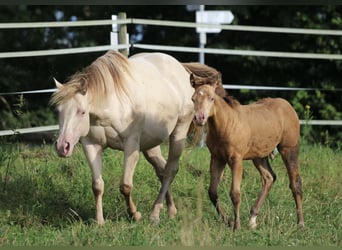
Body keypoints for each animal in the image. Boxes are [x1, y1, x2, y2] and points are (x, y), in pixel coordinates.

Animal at [192, 85, 304, 229]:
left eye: (211, 98)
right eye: (193, 99)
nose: (199, 118)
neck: (226, 124)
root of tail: (288, 105)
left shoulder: (236, 160)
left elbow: (235, 194)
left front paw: (237, 226)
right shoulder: (217, 158)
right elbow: (212, 192)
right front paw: (228, 221)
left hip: (289, 149)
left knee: (295, 183)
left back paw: (301, 223)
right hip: (259, 156)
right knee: (269, 177)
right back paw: (252, 219)